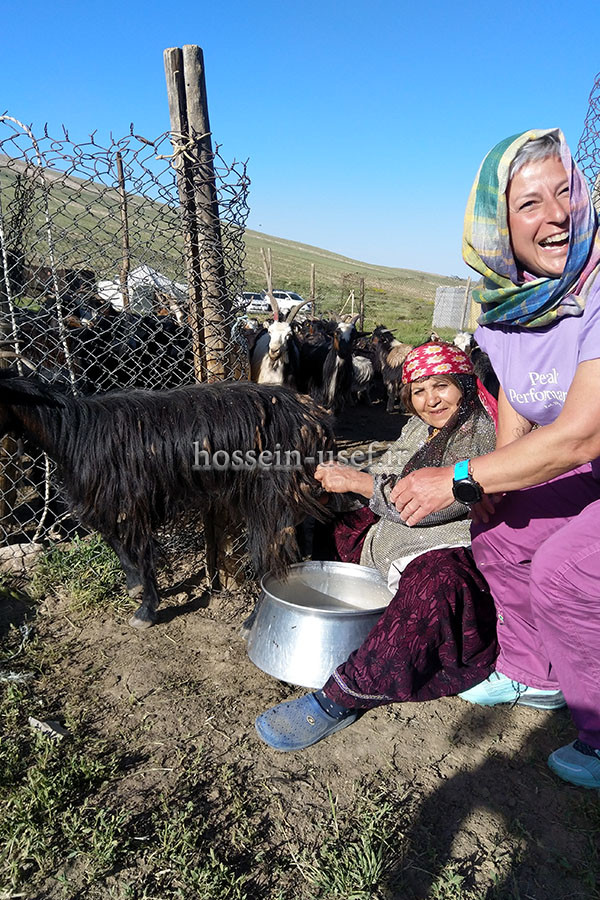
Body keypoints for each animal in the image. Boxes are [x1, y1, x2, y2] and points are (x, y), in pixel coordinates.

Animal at [0, 372, 335, 628]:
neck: (74, 432)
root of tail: (315, 420)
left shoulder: (131, 504)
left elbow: (141, 553)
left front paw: (146, 611)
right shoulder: (112, 505)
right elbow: (116, 543)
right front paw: (134, 588)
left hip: (270, 503)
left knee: (275, 562)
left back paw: (252, 622)